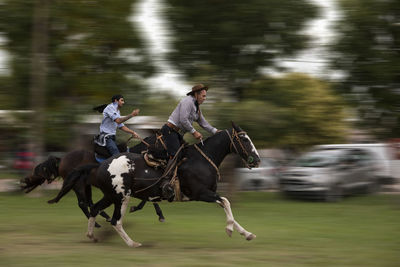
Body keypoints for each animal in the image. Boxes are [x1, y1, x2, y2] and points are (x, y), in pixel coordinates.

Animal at [19, 136, 167, 226]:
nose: (166, 158)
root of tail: (61, 160)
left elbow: (150, 198)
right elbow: (150, 199)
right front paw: (157, 214)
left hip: (86, 185)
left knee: (89, 202)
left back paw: (103, 216)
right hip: (78, 185)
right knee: (82, 203)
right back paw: (96, 223)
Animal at [48, 122, 260, 248]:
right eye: (244, 139)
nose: (257, 159)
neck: (201, 159)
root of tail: (100, 165)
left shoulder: (209, 193)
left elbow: (226, 206)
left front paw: (247, 233)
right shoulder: (201, 193)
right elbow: (226, 202)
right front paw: (230, 230)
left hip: (110, 196)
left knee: (95, 209)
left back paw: (92, 236)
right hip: (121, 197)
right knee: (115, 220)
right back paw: (132, 243)